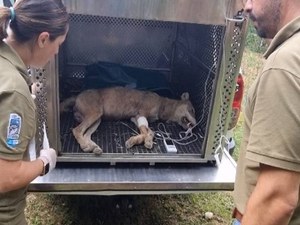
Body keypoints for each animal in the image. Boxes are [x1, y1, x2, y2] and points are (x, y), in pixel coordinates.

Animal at [60, 86, 197, 155]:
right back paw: (85, 146)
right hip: (95, 113)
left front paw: (143, 140)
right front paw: (136, 141)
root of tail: (76, 96)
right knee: (77, 130)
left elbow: (149, 132)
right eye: (192, 110)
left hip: (97, 119)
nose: (195, 125)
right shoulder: (141, 113)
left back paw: (93, 147)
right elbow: (147, 131)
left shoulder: (135, 117)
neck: (162, 104)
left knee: (86, 134)